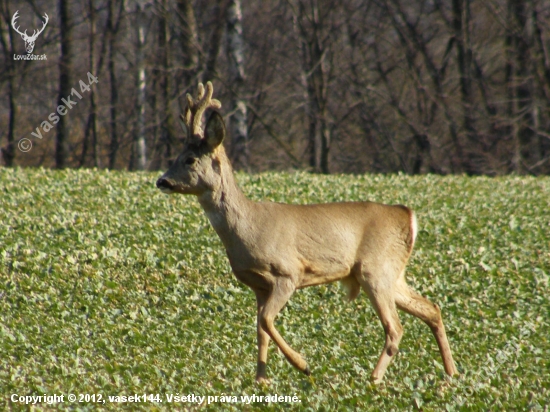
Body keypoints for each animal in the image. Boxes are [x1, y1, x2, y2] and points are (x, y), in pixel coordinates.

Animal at [157, 82, 460, 384]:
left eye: (190, 159)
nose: (162, 180)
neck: (248, 229)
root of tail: (408, 215)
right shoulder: (258, 286)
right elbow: (260, 330)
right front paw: (261, 380)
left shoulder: (287, 273)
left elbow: (266, 320)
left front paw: (302, 364)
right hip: (392, 273)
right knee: (431, 309)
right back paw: (451, 374)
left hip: (375, 269)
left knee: (395, 327)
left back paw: (373, 380)